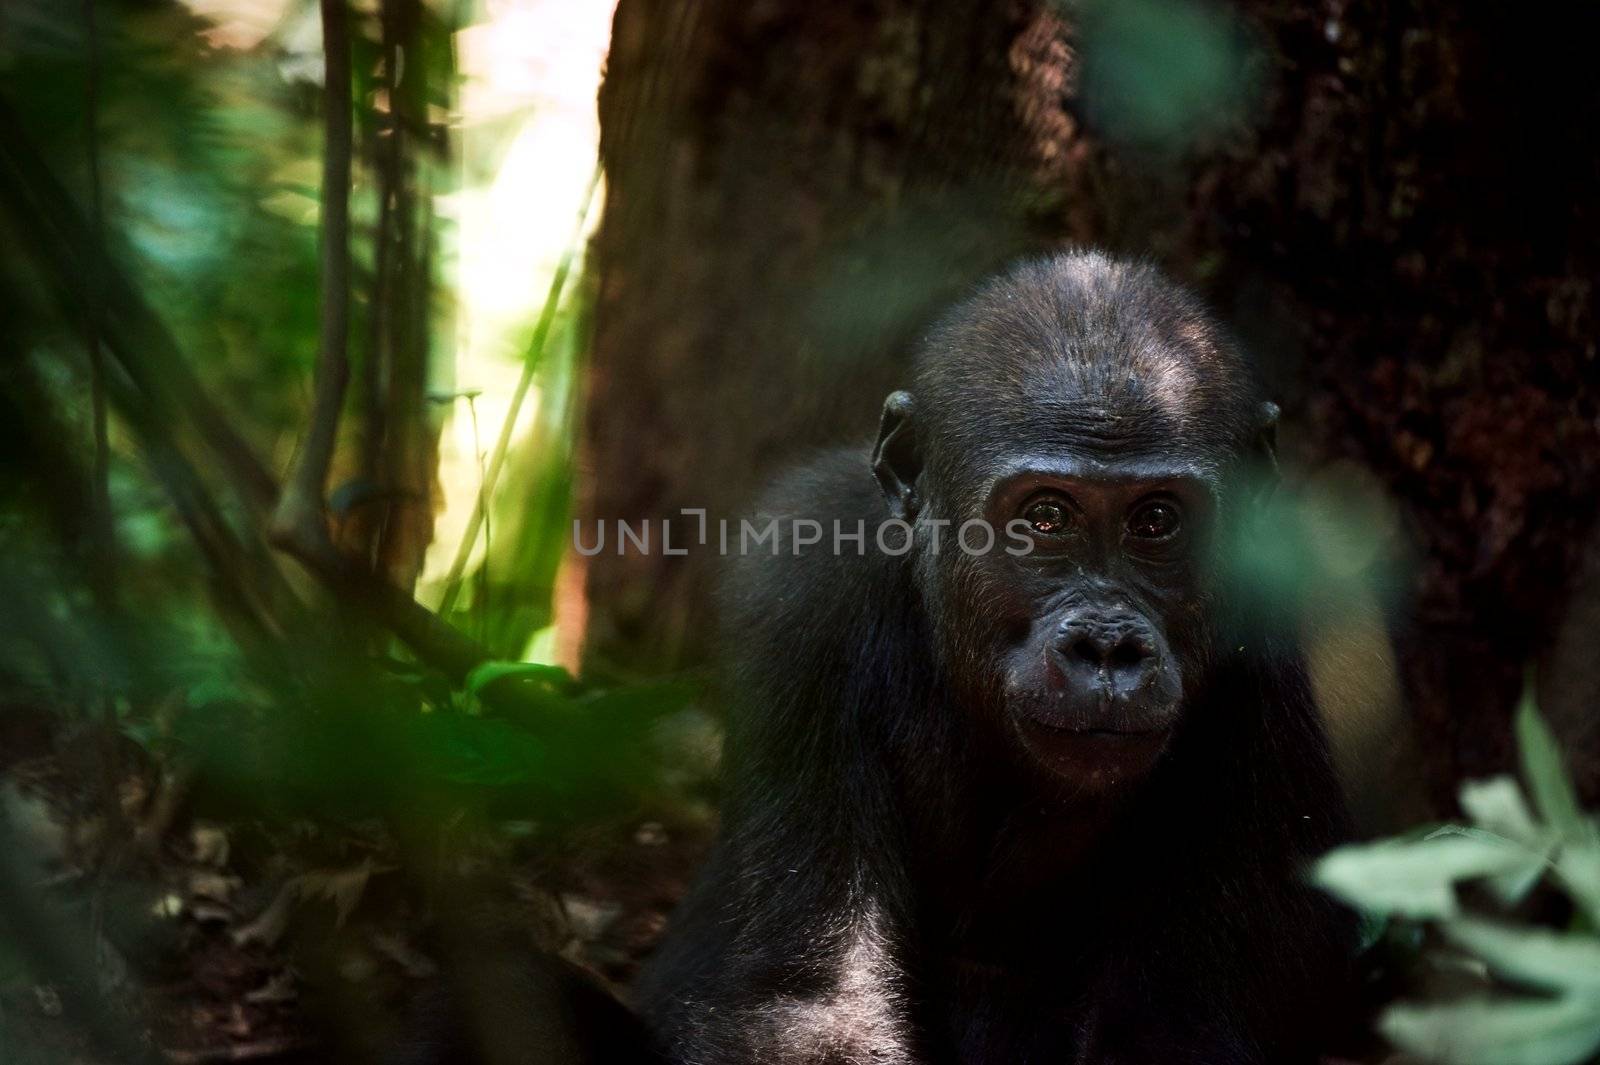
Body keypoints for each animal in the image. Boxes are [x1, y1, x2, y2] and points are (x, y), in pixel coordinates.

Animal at [630, 251, 1356, 1061]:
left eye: (1157, 520)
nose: (1107, 646)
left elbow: (1180, 1024)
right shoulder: (798, 580)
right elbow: (808, 1004)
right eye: (1045, 516)